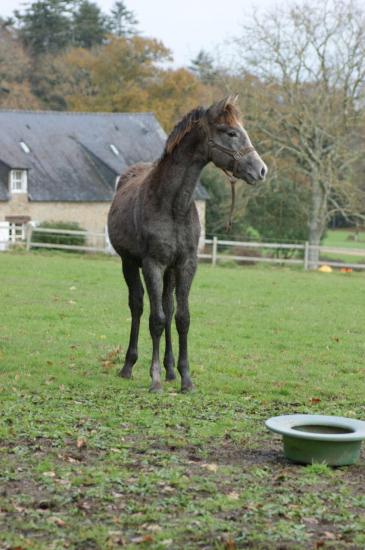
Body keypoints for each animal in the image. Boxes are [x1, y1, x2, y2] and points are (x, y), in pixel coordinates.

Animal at [106, 97, 266, 394]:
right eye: (231, 133)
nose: (261, 170)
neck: (173, 205)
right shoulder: (153, 264)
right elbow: (155, 320)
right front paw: (155, 380)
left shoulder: (186, 264)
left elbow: (181, 318)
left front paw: (185, 378)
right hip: (129, 263)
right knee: (138, 306)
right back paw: (129, 366)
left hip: (169, 272)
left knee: (167, 308)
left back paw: (170, 370)